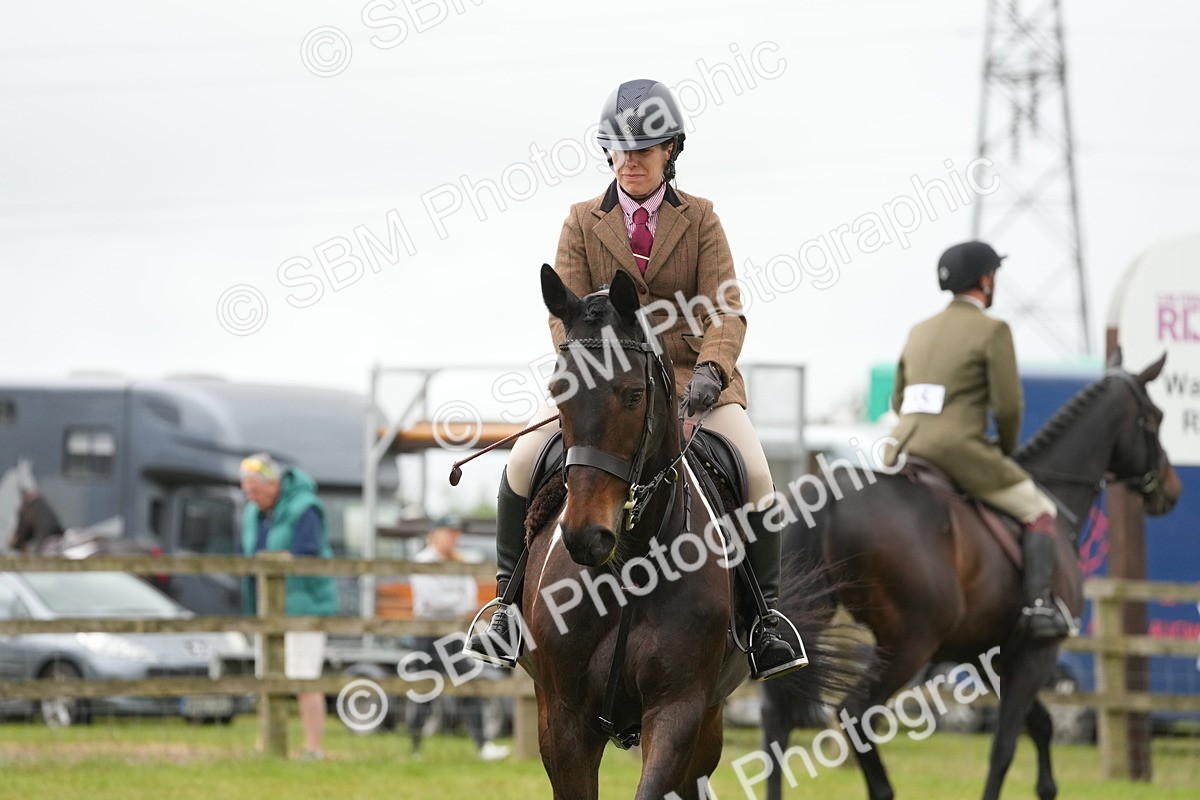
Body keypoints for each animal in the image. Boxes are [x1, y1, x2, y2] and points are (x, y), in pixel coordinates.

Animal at [519, 265, 855, 799]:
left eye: (634, 394)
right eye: (558, 393)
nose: (585, 537)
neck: (630, 564)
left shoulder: (678, 713)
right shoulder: (565, 720)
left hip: (709, 722)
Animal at [760, 351, 1182, 800]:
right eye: (1155, 418)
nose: (1171, 490)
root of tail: (822, 494)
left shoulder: (988, 657)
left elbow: (1041, 725)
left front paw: (1048, 787)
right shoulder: (1036, 653)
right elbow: (1005, 744)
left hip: (809, 623)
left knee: (777, 717)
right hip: (910, 643)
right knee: (854, 711)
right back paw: (884, 790)